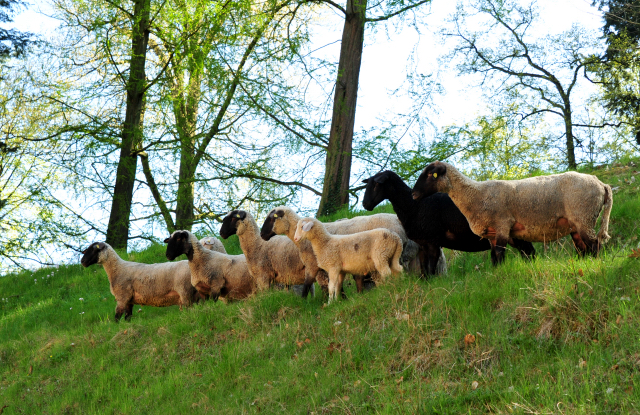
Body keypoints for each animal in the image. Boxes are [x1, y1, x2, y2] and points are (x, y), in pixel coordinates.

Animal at [360, 169, 536, 272]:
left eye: (376, 185)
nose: (365, 204)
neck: (414, 205)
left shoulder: (432, 241)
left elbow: (432, 266)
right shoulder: (422, 244)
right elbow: (424, 269)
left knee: (528, 251)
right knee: (528, 252)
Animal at [412, 161, 612, 264]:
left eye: (430, 175)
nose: (414, 195)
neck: (475, 194)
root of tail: (601, 184)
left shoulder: (502, 225)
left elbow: (500, 254)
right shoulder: (491, 233)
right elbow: (494, 257)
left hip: (584, 217)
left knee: (594, 245)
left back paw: (596, 264)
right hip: (577, 224)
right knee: (584, 248)